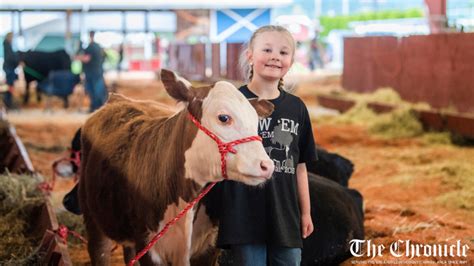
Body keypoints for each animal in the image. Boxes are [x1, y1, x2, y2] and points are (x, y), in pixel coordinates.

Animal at [78, 69, 274, 264]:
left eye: (255, 120)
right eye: (224, 118)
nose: (267, 165)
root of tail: (118, 98)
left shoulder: (208, 246)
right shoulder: (148, 246)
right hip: (92, 215)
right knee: (99, 249)